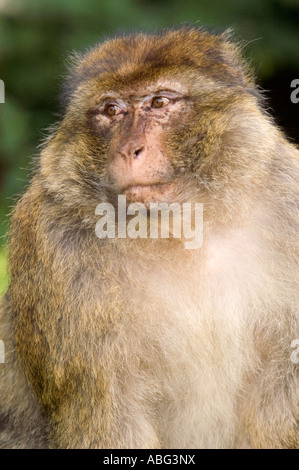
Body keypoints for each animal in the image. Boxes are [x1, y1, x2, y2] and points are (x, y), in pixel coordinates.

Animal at [0, 24, 299, 448]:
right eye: (111, 110)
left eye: (159, 102)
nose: (129, 150)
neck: (183, 228)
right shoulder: (49, 238)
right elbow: (106, 412)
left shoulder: (289, 208)